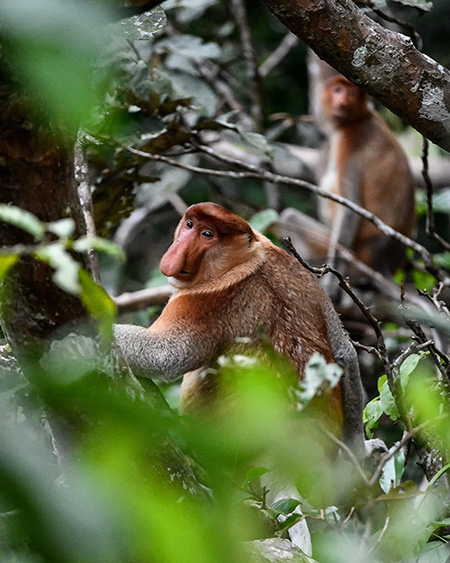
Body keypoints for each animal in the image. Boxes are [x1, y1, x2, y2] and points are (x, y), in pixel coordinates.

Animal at [113, 203, 366, 454]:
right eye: (190, 224)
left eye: (208, 234)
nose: (174, 255)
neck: (246, 259)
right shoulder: (303, 275)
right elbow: (344, 351)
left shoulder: (204, 299)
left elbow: (168, 354)